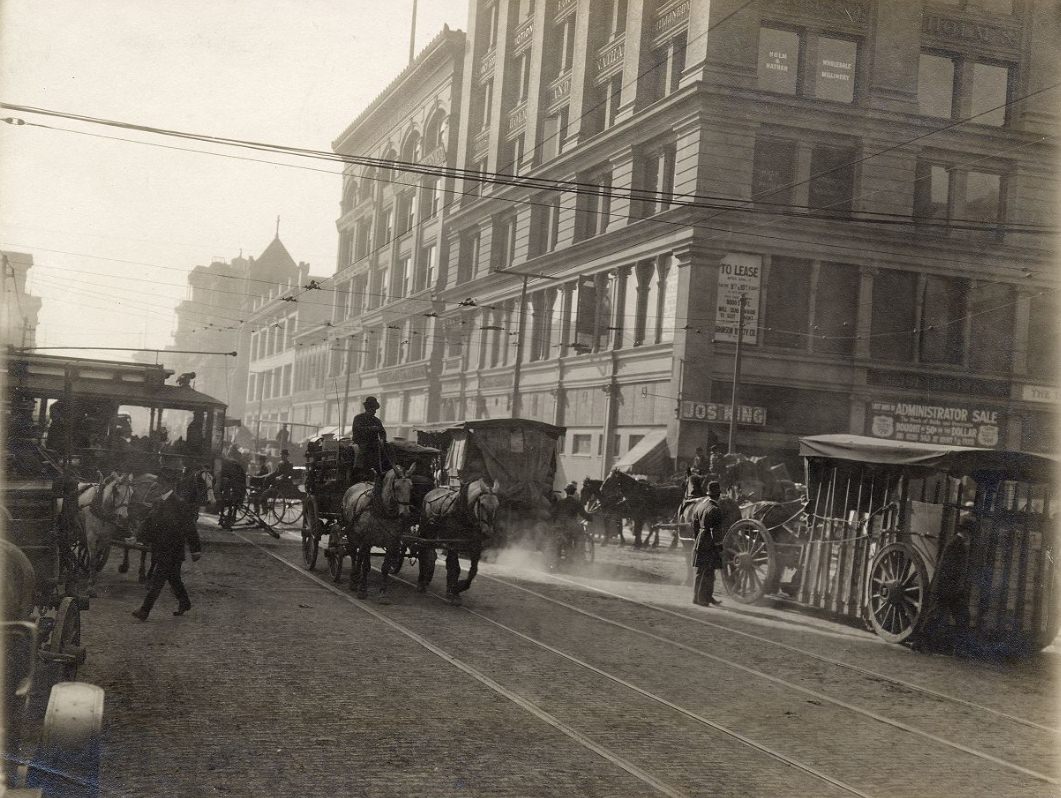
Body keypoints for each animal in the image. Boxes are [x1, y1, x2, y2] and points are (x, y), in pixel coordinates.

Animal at [343, 464, 418, 602]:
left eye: (411, 487)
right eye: (396, 487)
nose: (405, 514)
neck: (383, 511)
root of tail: (355, 485)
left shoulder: (391, 542)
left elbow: (385, 567)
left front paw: (383, 592)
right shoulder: (367, 540)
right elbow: (365, 566)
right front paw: (362, 590)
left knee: (359, 556)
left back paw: (356, 578)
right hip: (352, 533)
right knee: (353, 554)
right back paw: (353, 579)